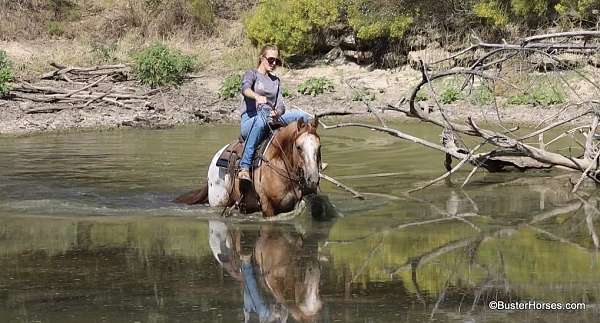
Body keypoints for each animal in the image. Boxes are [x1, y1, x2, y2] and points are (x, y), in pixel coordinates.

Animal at [176, 117, 322, 218]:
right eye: (299, 147)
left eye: (319, 146)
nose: (313, 179)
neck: (277, 162)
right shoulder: (267, 206)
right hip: (219, 202)